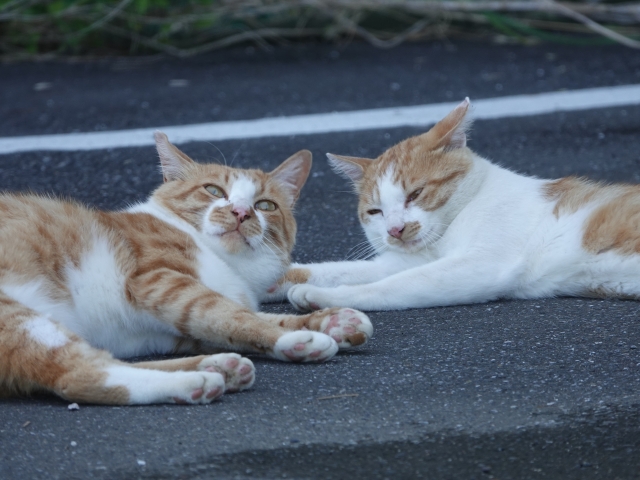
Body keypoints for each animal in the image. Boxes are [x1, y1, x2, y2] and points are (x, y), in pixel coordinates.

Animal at [0, 131, 372, 404]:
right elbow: (235, 316)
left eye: (265, 205)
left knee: (98, 362)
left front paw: (332, 321)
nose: (241, 213)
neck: (229, 263)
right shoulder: (161, 281)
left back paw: (221, 366)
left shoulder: (179, 329)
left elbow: (249, 319)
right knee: (79, 376)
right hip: (19, 318)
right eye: (213, 190)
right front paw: (296, 339)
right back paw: (198, 380)